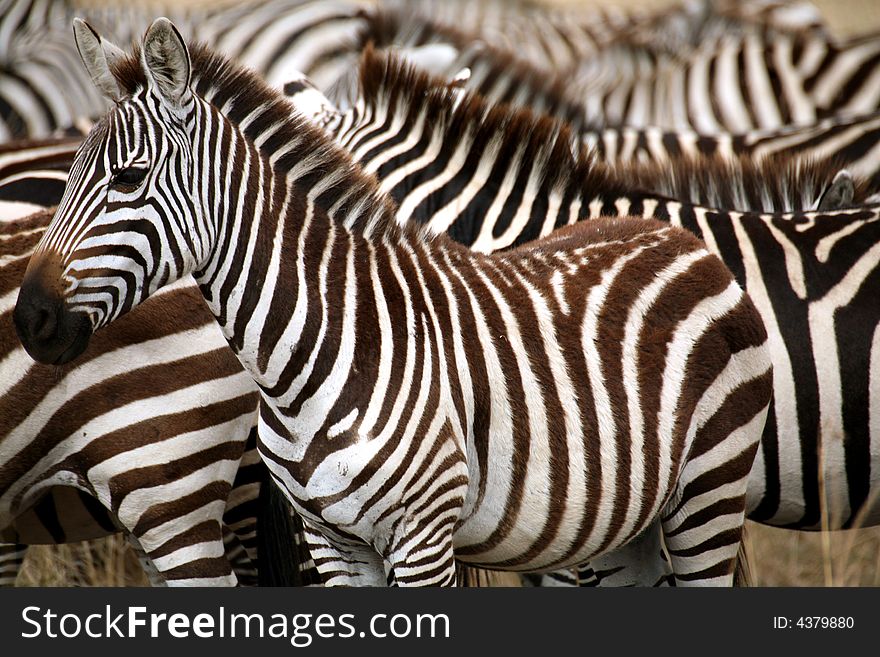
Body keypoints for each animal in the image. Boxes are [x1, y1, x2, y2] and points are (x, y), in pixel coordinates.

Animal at [12, 19, 768, 584]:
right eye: (66, 172)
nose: (29, 318)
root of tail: (674, 230)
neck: (312, 352)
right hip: (627, 520)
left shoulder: (423, 536)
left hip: (709, 490)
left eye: (128, 177)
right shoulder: (332, 542)